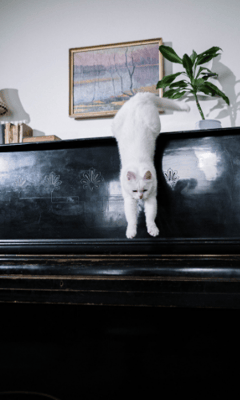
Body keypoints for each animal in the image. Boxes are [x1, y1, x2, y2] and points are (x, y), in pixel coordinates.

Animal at [112, 92, 189, 239]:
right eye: (134, 191)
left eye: (145, 190)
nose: (141, 197)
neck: (137, 164)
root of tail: (140, 95)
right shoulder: (129, 199)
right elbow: (131, 218)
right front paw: (131, 232)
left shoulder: (152, 197)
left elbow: (151, 216)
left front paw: (153, 230)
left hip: (155, 123)